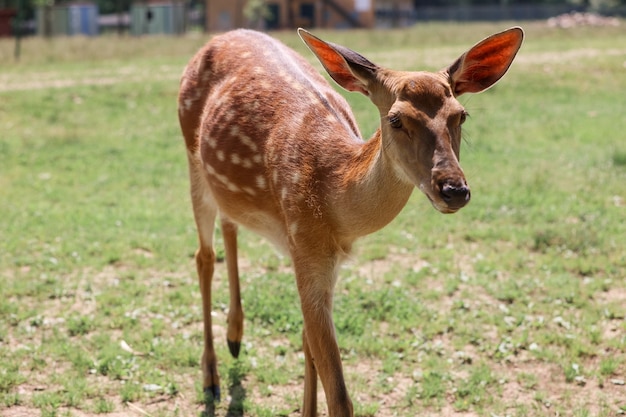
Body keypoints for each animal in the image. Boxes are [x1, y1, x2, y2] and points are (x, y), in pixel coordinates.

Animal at [177, 27, 520, 414]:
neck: (332, 196)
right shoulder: (305, 246)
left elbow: (307, 341)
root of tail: (219, 37)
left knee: (229, 223)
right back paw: (211, 378)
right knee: (204, 257)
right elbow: (339, 395)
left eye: (460, 116)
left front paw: (306, 410)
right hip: (191, 158)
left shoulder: (328, 260)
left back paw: (235, 337)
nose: (454, 189)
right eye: (396, 119)